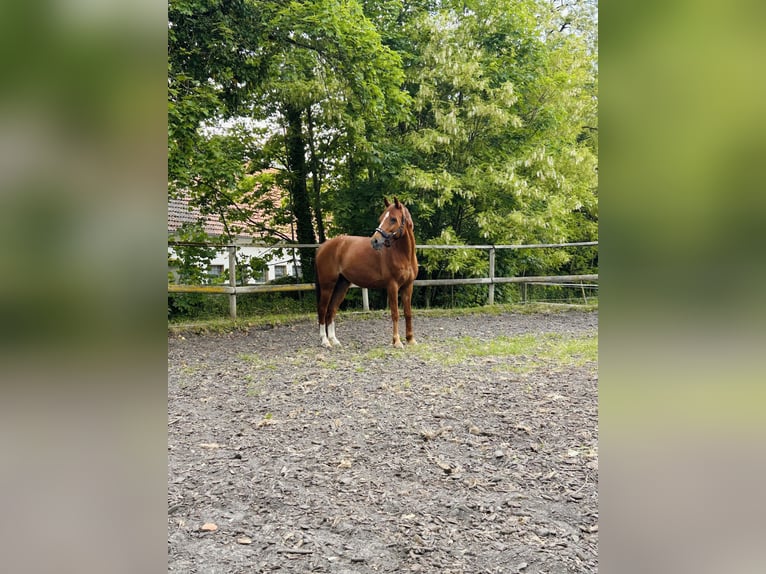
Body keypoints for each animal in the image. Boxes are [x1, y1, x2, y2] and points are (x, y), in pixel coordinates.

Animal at [315, 197, 418, 348]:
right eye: (381, 218)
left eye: (393, 219)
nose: (375, 241)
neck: (403, 255)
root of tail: (323, 247)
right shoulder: (392, 286)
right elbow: (395, 314)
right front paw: (397, 342)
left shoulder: (408, 286)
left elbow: (408, 313)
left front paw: (411, 340)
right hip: (327, 286)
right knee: (322, 310)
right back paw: (325, 341)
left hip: (342, 285)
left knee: (331, 310)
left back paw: (334, 340)